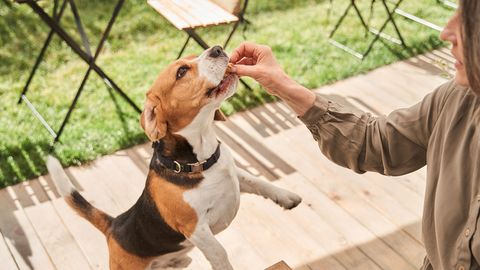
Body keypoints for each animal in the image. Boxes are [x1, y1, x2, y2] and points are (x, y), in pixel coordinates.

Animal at [51, 45, 300, 268]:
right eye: (181, 72)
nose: (217, 49)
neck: (200, 160)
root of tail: (115, 224)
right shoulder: (195, 228)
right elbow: (219, 252)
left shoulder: (234, 176)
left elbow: (259, 182)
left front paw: (286, 197)